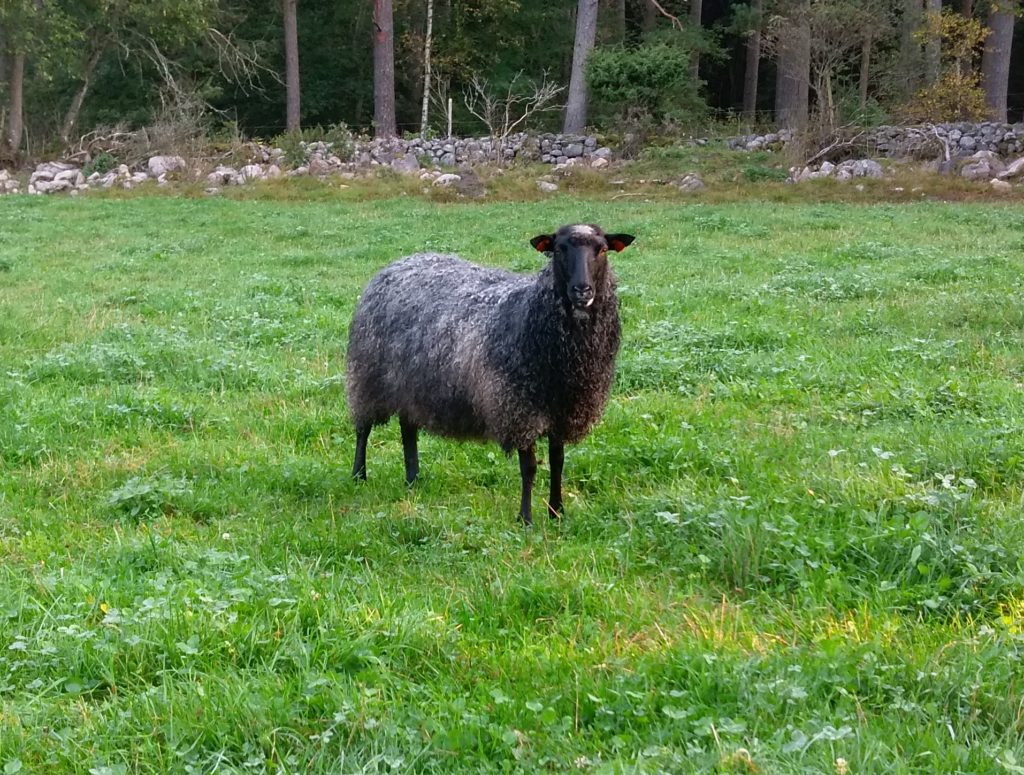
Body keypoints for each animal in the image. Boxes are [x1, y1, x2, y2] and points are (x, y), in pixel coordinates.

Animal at [346, 224, 630, 524]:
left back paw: (413, 478)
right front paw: (525, 518)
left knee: (407, 428)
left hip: (410, 383)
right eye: (559, 249)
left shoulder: (563, 412)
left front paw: (556, 511)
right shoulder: (518, 409)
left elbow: (558, 462)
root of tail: (398, 263)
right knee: (363, 428)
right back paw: (359, 475)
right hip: (367, 375)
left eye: (602, 249)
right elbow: (529, 467)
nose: (582, 290)